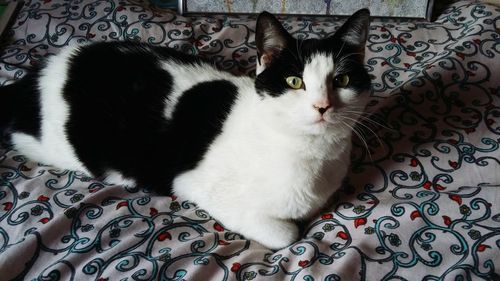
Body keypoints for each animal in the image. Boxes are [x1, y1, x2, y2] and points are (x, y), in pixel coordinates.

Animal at [0, 9, 372, 248]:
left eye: (342, 80)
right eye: (295, 82)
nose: (322, 106)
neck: (311, 157)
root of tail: (38, 71)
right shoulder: (195, 185)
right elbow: (286, 235)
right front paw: (290, 228)